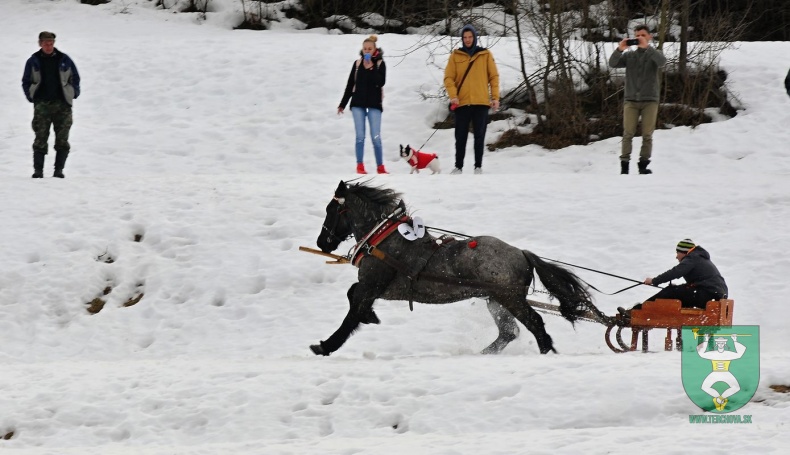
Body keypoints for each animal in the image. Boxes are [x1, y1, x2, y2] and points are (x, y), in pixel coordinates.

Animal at [312, 181, 608, 356]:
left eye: (330, 210)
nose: (322, 242)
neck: (383, 238)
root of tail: (521, 253)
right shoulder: (379, 289)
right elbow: (352, 297)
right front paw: (368, 317)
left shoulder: (373, 285)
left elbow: (353, 308)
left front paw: (326, 345)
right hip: (496, 301)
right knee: (509, 332)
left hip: (510, 298)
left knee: (535, 324)